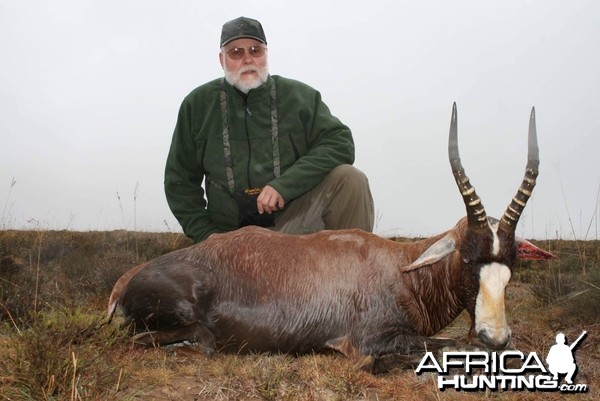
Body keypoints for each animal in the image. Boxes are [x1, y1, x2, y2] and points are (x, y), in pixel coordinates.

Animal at [106, 104, 552, 372]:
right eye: (468, 258)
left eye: (510, 263)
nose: (496, 337)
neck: (400, 268)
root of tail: (122, 283)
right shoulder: (372, 340)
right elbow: (448, 347)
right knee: (177, 339)